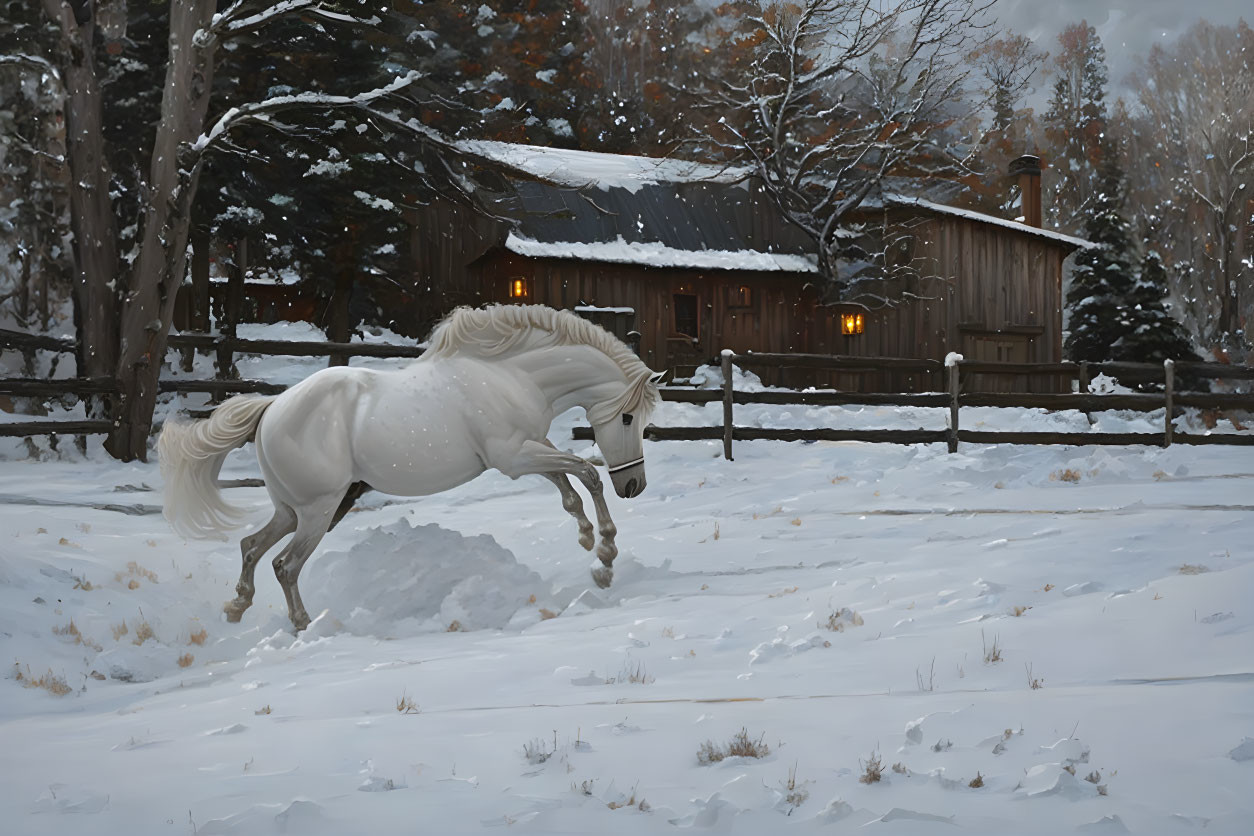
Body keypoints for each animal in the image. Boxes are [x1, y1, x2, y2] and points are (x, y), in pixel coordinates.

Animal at [159, 304, 657, 631]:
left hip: (291, 509)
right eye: (628, 417)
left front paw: (588, 539)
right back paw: (302, 624)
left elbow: (568, 484)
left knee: (251, 547)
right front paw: (605, 555)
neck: (510, 376)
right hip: (318, 510)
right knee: (285, 564)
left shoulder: (528, 448)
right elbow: (587, 473)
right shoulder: (513, 457)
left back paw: (236, 607)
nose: (634, 484)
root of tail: (271, 409)